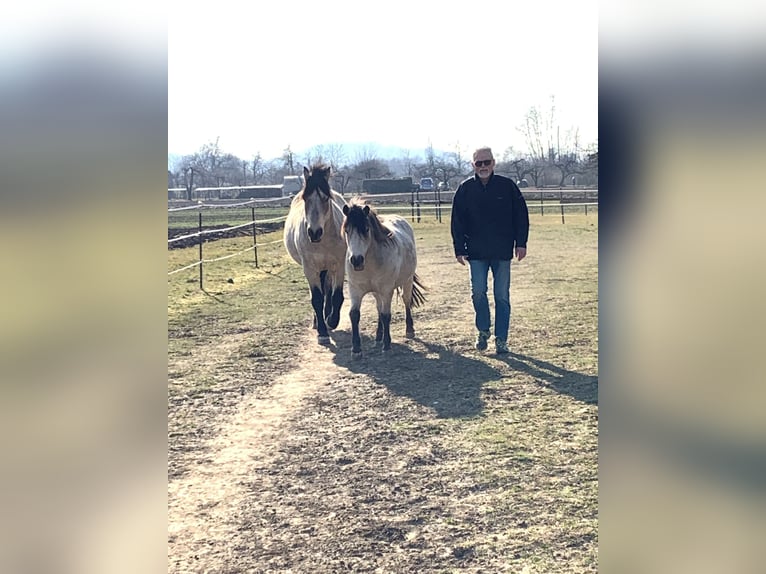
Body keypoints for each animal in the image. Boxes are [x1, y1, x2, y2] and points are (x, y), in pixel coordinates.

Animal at [284, 163, 348, 342]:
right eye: (306, 199)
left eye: (325, 198)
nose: (314, 233)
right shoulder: (309, 268)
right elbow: (317, 298)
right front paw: (322, 331)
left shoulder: (339, 265)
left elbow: (336, 295)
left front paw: (332, 321)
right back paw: (318, 321)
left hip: (328, 268)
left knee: (328, 290)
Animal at [342, 200, 426, 358]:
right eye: (347, 231)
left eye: (366, 229)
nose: (356, 260)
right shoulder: (355, 290)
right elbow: (355, 314)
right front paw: (356, 349)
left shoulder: (387, 291)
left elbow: (386, 315)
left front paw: (387, 345)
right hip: (376, 292)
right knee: (379, 308)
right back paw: (378, 336)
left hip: (407, 281)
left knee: (406, 301)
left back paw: (409, 330)